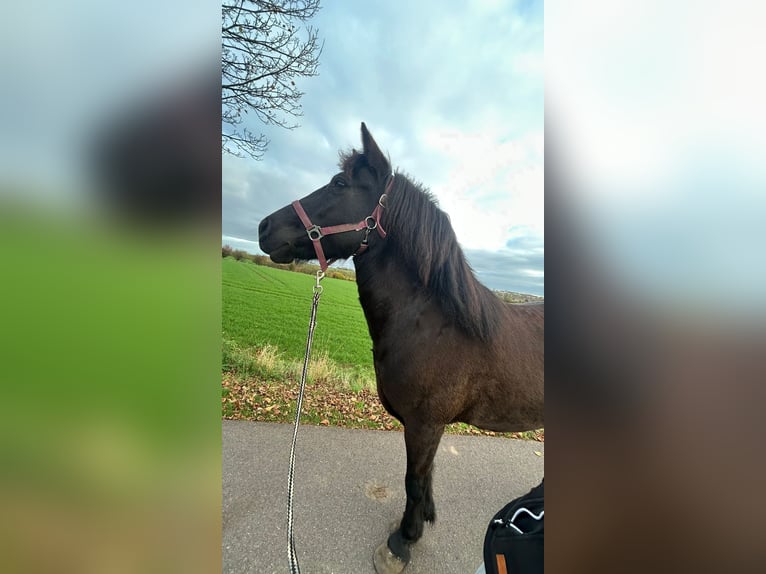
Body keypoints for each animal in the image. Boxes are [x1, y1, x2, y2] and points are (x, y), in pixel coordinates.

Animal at [260, 124, 544, 572]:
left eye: (340, 184)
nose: (263, 227)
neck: (433, 324)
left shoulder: (425, 423)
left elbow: (414, 478)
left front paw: (404, 540)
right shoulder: (429, 427)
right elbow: (425, 477)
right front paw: (424, 517)